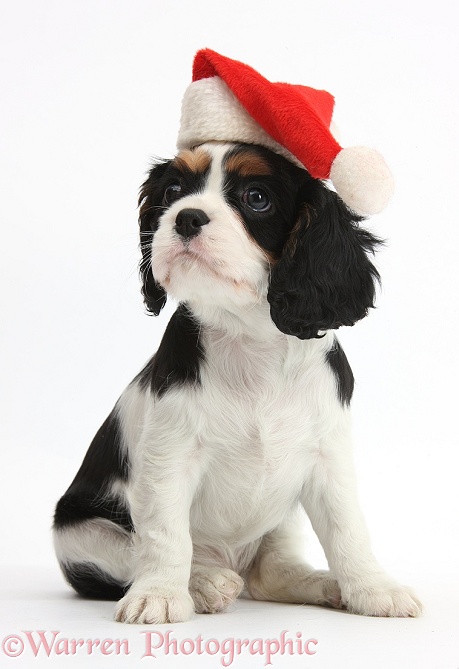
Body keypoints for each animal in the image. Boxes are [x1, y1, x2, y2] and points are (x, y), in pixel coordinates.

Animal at [52, 140, 422, 620]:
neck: (249, 338)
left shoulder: (328, 457)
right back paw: (205, 582)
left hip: (281, 522)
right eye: (173, 191)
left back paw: (321, 584)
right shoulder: (168, 456)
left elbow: (348, 528)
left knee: (271, 574)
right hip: (79, 534)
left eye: (256, 198)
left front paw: (373, 588)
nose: (187, 217)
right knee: (137, 551)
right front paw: (159, 595)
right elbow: (165, 535)